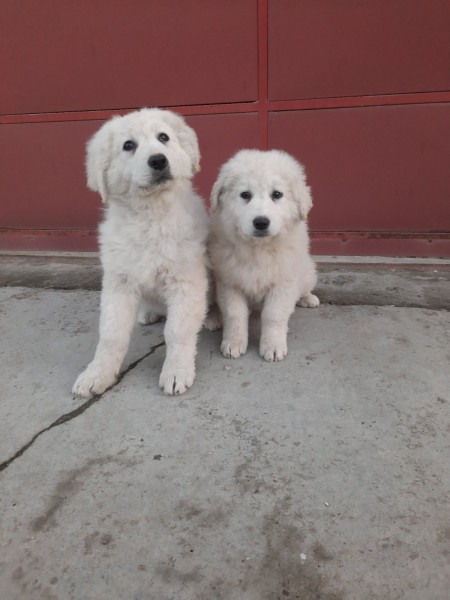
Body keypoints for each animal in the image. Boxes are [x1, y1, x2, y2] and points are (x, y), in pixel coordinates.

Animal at [72, 108, 208, 397]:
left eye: (163, 137)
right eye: (128, 146)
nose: (158, 160)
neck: (150, 217)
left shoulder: (185, 282)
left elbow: (177, 331)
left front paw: (176, 372)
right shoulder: (119, 284)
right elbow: (111, 335)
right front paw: (96, 374)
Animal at [208, 149, 319, 362]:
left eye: (277, 194)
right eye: (245, 195)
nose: (261, 222)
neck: (258, 248)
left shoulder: (283, 283)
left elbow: (273, 315)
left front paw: (272, 346)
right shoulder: (229, 282)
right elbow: (235, 315)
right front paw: (233, 342)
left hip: (307, 272)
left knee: (304, 288)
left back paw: (308, 299)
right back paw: (212, 318)